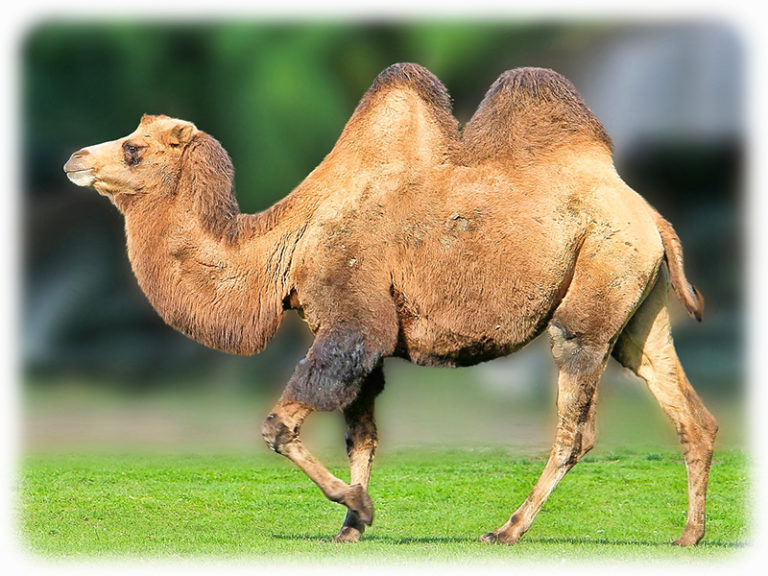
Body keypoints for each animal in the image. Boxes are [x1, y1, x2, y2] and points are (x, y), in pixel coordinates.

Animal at [64, 63, 717, 546]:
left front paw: (357, 504)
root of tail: (652, 215)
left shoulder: (353, 321)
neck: (286, 243)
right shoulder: (355, 335)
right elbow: (362, 435)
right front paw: (350, 526)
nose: (73, 159)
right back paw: (688, 534)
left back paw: (507, 530)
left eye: (133, 149)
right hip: (638, 304)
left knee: (575, 420)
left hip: (596, 282)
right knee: (685, 406)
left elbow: (279, 425)